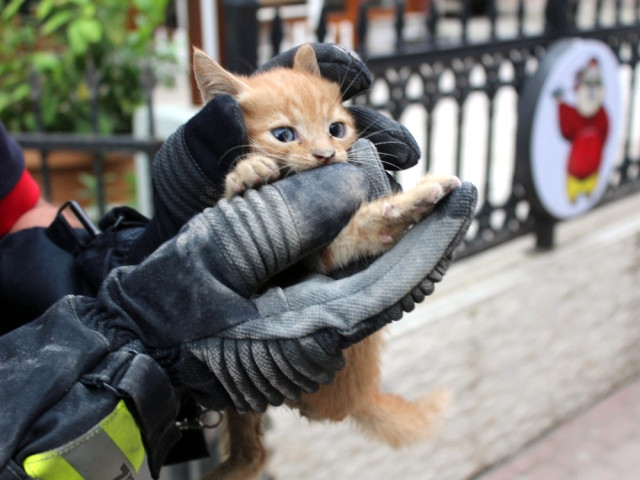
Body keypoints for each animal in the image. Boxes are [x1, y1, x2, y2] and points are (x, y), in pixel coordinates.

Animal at [192, 45, 458, 480]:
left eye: (336, 129)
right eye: (284, 135)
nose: (327, 154)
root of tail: (361, 394)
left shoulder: (321, 253)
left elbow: (348, 235)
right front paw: (246, 174)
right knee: (254, 454)